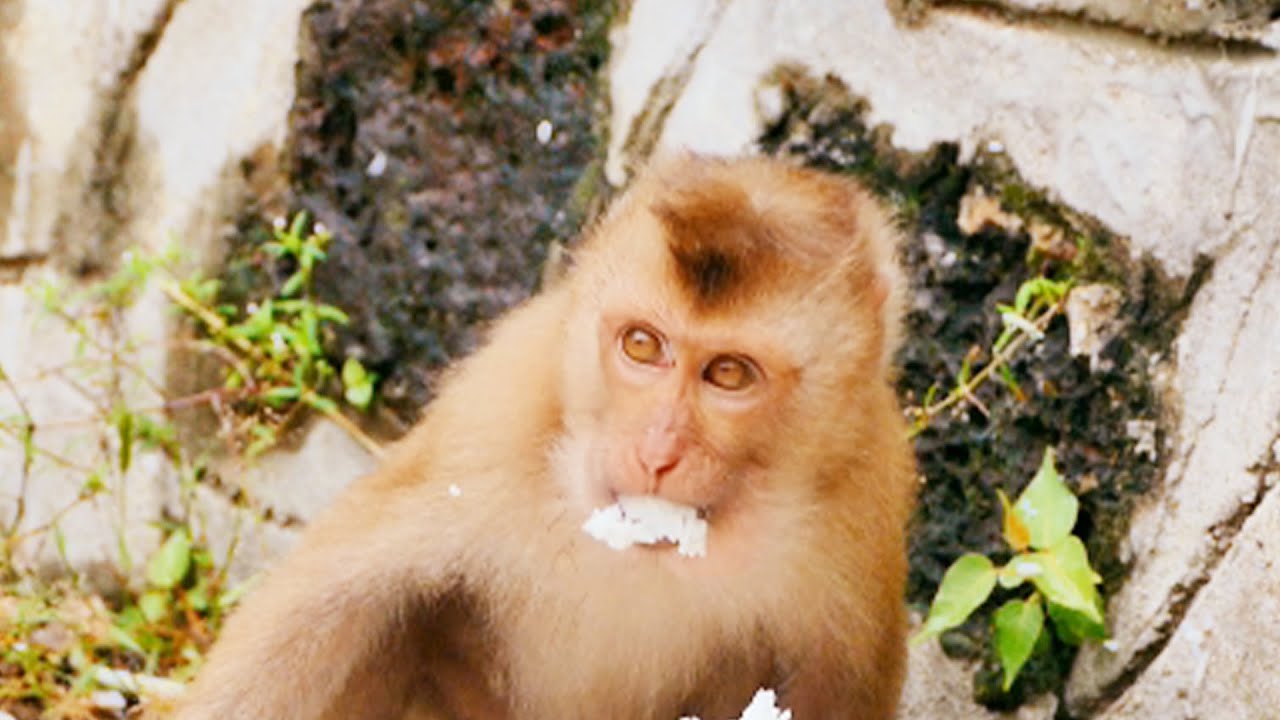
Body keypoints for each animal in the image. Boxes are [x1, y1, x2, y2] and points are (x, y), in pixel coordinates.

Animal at [174, 154, 917, 720]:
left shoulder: (859, 512)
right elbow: (344, 595)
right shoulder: (498, 412)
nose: (656, 454)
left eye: (729, 374)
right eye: (642, 345)